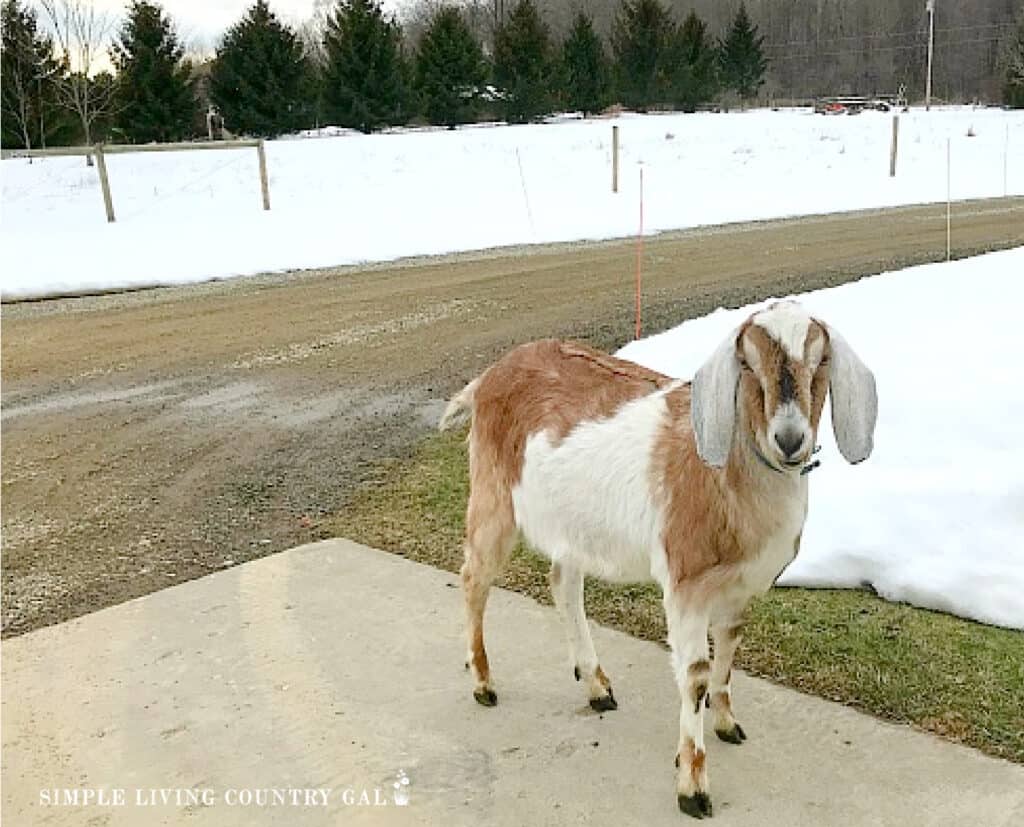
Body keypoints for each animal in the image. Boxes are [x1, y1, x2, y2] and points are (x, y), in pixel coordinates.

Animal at [436, 300, 876, 818]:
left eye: (821, 359)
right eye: (746, 362)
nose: (789, 439)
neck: (728, 475)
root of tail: (488, 377)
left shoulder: (739, 586)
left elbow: (730, 647)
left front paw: (727, 724)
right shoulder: (687, 585)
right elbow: (695, 676)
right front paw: (693, 788)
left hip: (573, 525)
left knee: (563, 583)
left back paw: (597, 687)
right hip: (493, 496)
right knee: (474, 578)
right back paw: (484, 684)